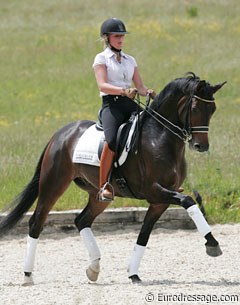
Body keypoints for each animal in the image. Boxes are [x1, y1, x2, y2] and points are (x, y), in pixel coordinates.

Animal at [0, 73, 226, 282]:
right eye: (195, 108)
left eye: (213, 109)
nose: (201, 146)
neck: (160, 138)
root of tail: (60, 134)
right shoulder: (154, 191)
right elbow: (189, 201)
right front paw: (212, 244)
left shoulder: (159, 201)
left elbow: (144, 234)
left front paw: (133, 274)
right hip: (53, 184)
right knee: (37, 222)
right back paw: (28, 275)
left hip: (98, 195)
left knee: (82, 220)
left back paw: (93, 269)